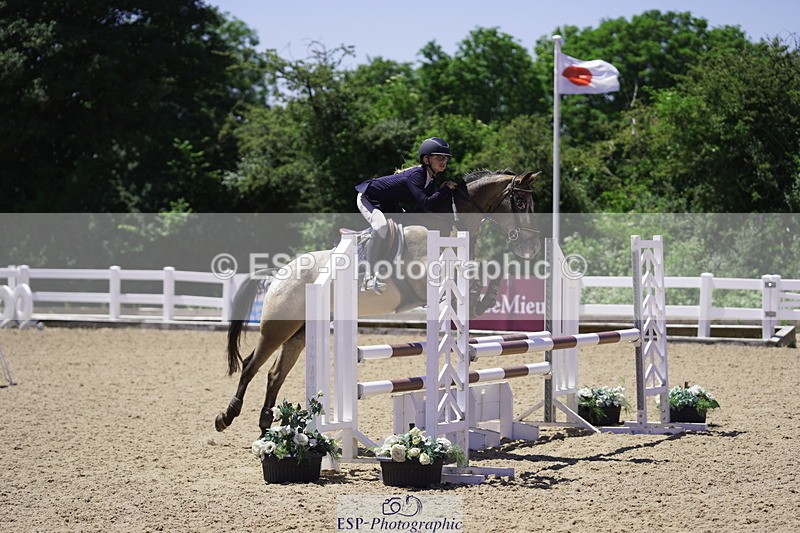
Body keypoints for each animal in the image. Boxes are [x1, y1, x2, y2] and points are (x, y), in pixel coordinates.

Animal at [215, 169, 541, 435]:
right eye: (519, 202)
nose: (532, 246)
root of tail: (279, 272)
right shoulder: (427, 281)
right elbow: (466, 284)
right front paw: (479, 300)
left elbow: (483, 275)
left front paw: (488, 297)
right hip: (279, 326)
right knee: (250, 365)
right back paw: (226, 416)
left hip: (301, 332)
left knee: (274, 374)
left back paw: (264, 425)